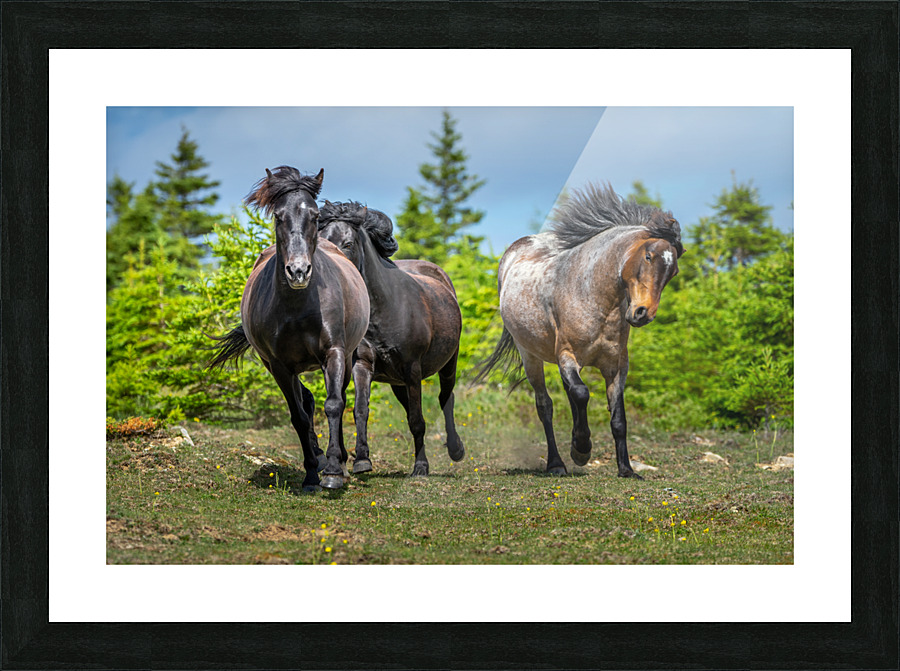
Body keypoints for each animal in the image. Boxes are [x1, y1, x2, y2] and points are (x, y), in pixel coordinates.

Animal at [207, 167, 370, 491]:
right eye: (278, 216)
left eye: (315, 216)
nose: (298, 271)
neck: (298, 307)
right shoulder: (280, 366)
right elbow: (299, 417)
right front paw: (311, 474)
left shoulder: (334, 353)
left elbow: (334, 404)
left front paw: (334, 471)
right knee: (305, 401)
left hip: (346, 358)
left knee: (341, 398)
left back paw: (343, 460)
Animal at [317, 200, 465, 477]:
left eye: (348, 243)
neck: (383, 308)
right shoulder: (363, 364)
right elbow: (361, 410)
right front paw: (362, 460)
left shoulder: (412, 368)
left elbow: (417, 420)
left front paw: (421, 467)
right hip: (396, 381)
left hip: (448, 364)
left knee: (445, 398)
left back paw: (456, 449)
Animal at [476, 183, 683, 478]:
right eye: (648, 256)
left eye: (673, 271)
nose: (643, 313)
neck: (594, 295)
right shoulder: (567, 356)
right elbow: (582, 394)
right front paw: (581, 449)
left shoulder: (616, 366)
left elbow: (618, 417)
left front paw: (626, 469)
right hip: (530, 356)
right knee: (546, 406)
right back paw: (556, 463)